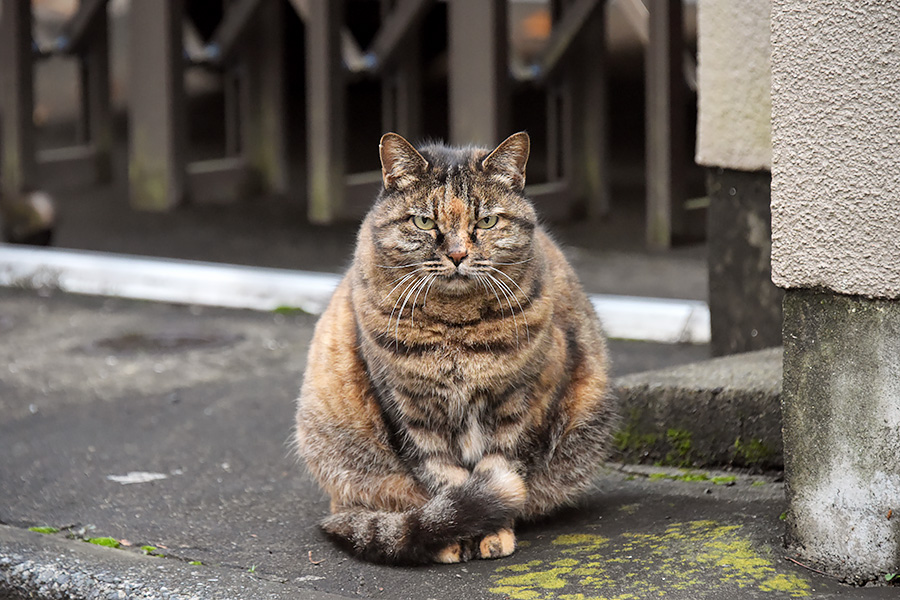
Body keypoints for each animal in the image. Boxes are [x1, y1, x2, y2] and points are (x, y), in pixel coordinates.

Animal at [292, 130, 616, 564]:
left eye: (487, 221)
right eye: (425, 221)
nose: (458, 255)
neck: (456, 329)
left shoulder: (518, 406)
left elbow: (499, 470)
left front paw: (493, 532)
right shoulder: (411, 414)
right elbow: (446, 481)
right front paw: (451, 535)